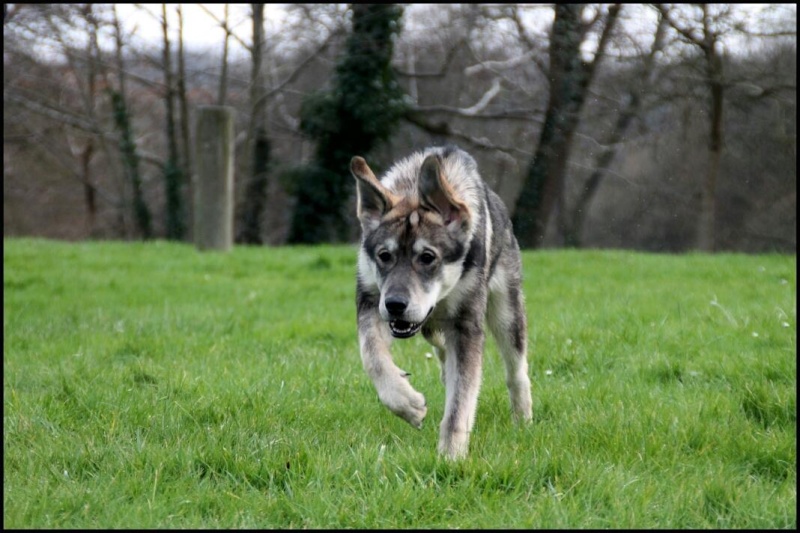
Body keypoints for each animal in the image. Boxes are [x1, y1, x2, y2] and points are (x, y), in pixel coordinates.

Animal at [350, 145, 532, 458]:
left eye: (427, 257)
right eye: (384, 256)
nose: (395, 305)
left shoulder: (466, 326)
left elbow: (460, 403)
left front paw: (451, 457)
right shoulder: (370, 301)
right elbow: (372, 357)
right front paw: (407, 404)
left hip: (506, 311)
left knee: (516, 370)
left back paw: (523, 420)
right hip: (428, 325)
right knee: (442, 352)